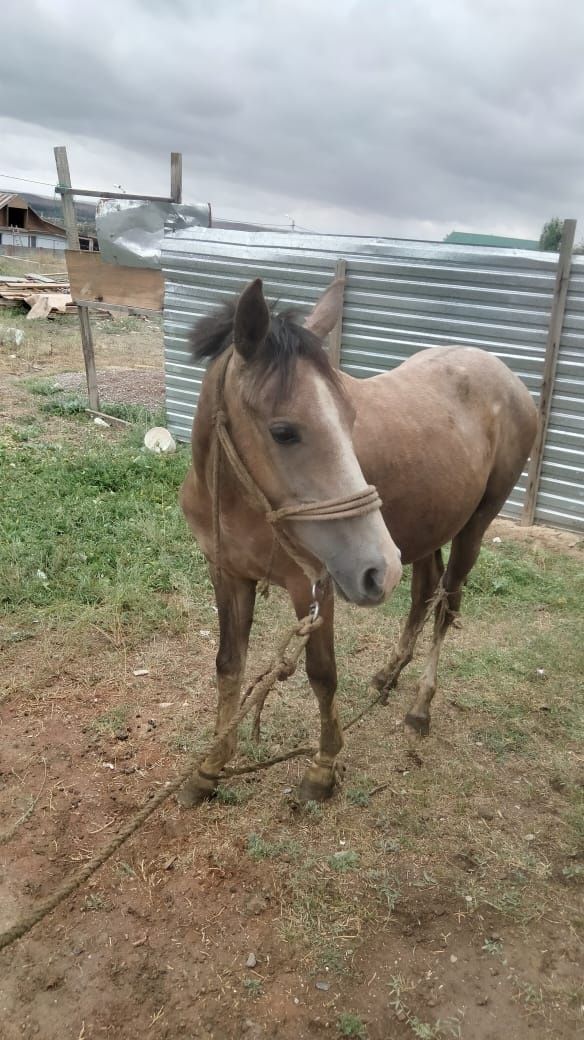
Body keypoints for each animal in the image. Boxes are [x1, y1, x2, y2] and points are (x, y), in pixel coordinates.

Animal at [178, 274, 536, 802]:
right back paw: (389, 674)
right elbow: (228, 664)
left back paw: (420, 706)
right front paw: (210, 767)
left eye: (351, 418)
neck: (240, 500)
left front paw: (323, 769)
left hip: (473, 526)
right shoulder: (227, 573)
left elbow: (322, 675)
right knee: (423, 591)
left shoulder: (314, 586)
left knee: (446, 605)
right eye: (283, 431)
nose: (376, 567)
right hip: (428, 529)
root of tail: (510, 379)